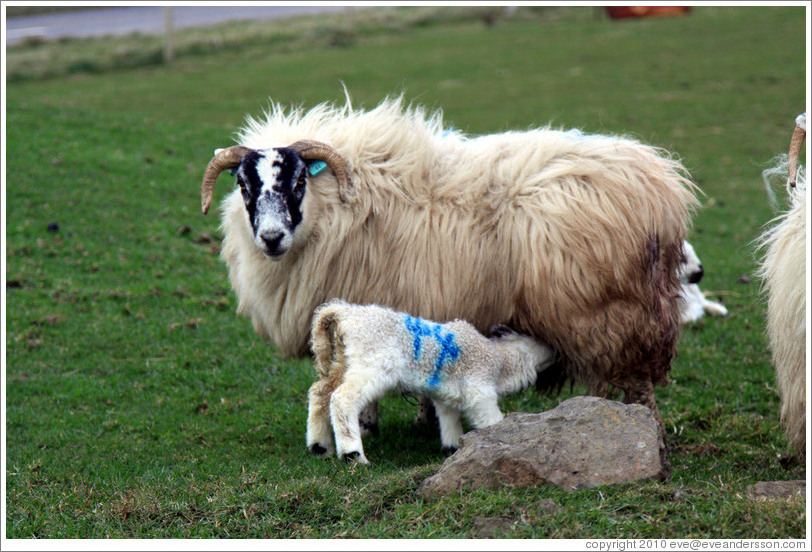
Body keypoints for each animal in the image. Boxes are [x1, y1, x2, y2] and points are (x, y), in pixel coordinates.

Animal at [201, 94, 696, 432]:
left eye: (299, 181)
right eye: (243, 186)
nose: (270, 238)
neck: (338, 209)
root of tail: (660, 188)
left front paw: (369, 424)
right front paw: (422, 420)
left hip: (611, 310)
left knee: (635, 380)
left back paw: (634, 425)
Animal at [306, 300, 560, 464]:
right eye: (538, 338)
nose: (557, 352)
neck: (498, 359)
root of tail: (345, 313)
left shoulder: (446, 394)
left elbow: (449, 419)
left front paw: (454, 448)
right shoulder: (479, 389)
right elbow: (491, 419)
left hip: (342, 360)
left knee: (320, 393)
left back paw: (319, 447)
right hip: (372, 363)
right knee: (342, 398)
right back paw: (352, 454)